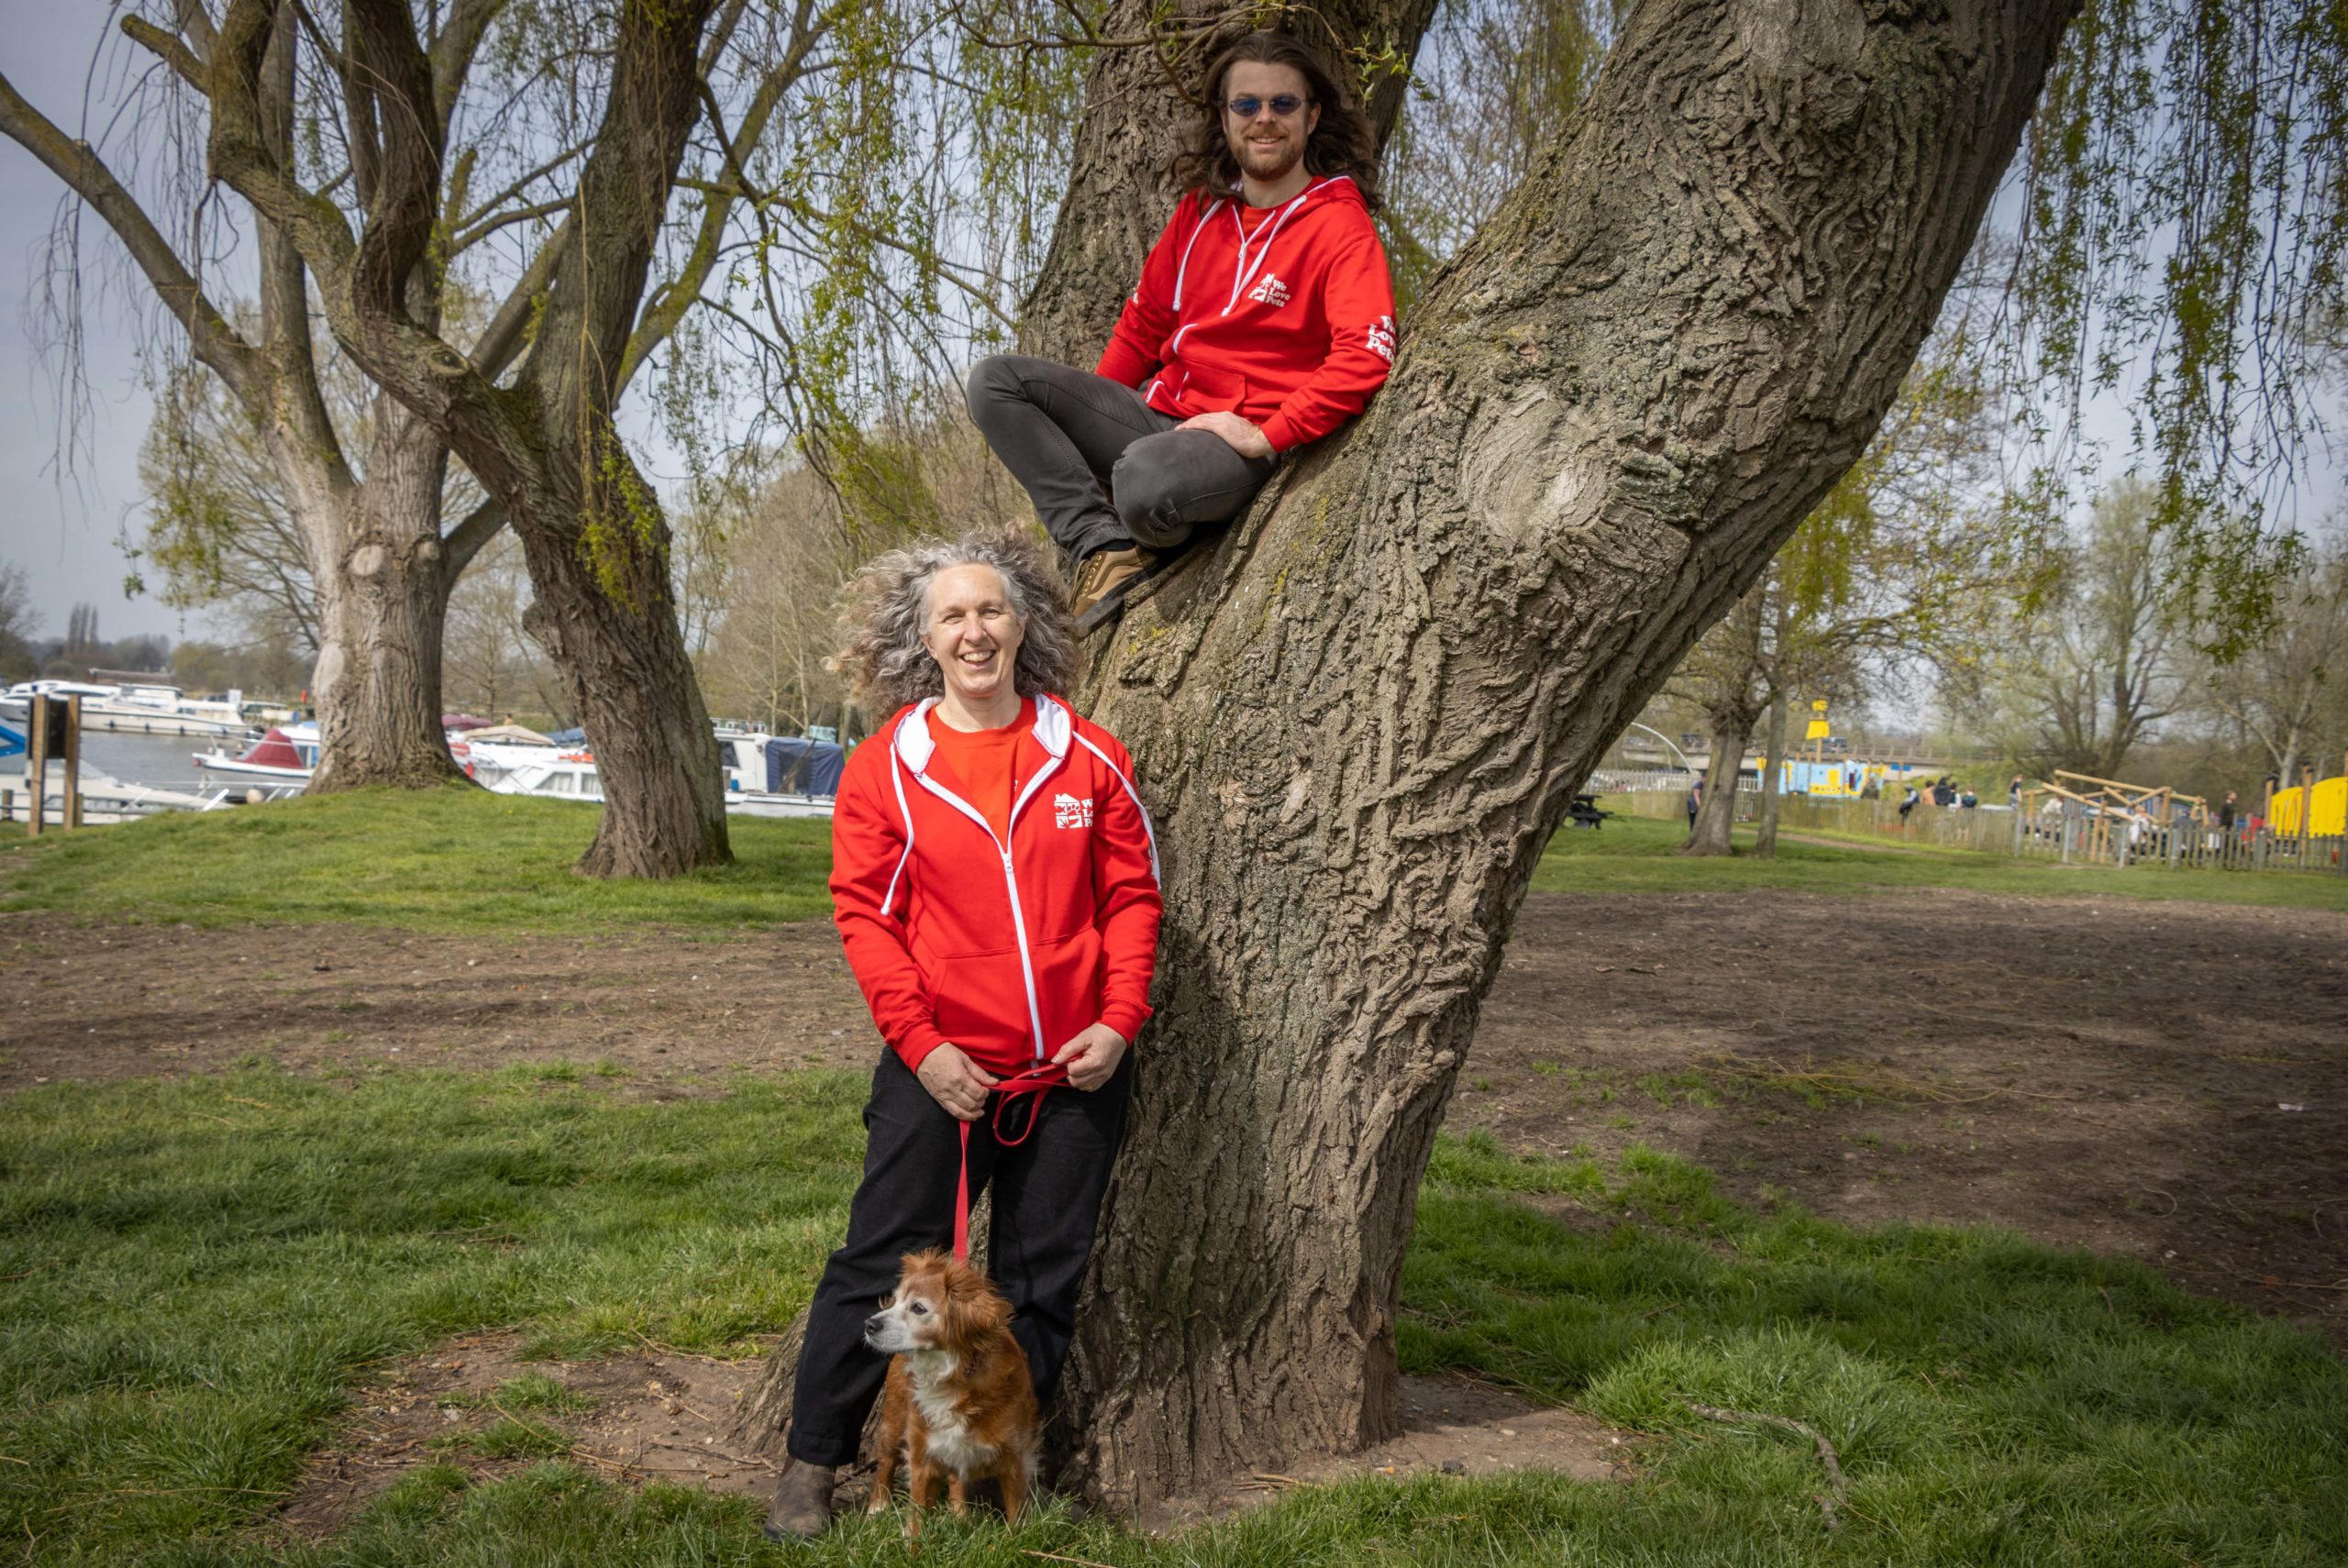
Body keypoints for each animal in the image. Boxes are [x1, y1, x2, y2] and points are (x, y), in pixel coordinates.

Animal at [864, 1248, 1037, 1530]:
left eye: (918, 1308)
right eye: (895, 1301)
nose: (869, 1324)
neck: (954, 1375)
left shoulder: (1014, 1456)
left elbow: (1016, 1510)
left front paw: (1019, 1538)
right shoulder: (922, 1452)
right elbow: (917, 1515)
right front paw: (913, 1540)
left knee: (957, 1477)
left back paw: (959, 1514)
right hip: (894, 1417)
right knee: (886, 1460)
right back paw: (877, 1507)